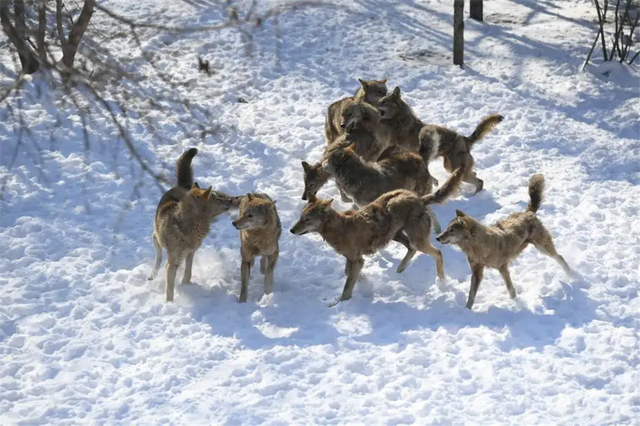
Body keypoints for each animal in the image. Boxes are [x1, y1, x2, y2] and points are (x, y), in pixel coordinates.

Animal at [148, 148, 238, 302]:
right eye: (215, 198)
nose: (230, 201)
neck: (188, 225)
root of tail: (181, 186)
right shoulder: (172, 262)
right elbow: (169, 288)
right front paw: (169, 303)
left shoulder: (191, 252)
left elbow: (188, 272)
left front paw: (185, 285)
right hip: (156, 239)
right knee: (158, 257)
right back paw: (153, 274)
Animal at [290, 166, 464, 302]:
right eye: (300, 217)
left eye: (307, 219)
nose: (291, 230)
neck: (340, 228)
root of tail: (419, 199)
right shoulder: (352, 259)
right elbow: (348, 273)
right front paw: (364, 280)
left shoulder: (356, 260)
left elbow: (346, 288)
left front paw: (340, 304)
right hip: (395, 235)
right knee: (411, 248)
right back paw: (400, 268)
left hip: (415, 239)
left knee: (437, 253)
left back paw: (441, 280)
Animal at [438, 173, 572, 310]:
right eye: (446, 229)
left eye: (451, 230)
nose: (437, 238)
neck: (477, 246)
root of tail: (528, 212)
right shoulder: (476, 272)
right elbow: (471, 294)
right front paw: (467, 310)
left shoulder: (502, 267)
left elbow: (510, 289)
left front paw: (517, 304)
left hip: (543, 247)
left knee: (559, 257)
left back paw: (572, 276)